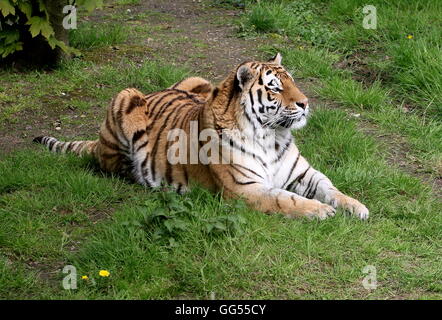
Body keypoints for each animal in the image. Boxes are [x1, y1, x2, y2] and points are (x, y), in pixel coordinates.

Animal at [32, 53, 368, 221]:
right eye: (275, 87)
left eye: (292, 81)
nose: (305, 103)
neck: (272, 136)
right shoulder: (245, 189)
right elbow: (286, 199)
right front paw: (321, 211)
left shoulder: (303, 173)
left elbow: (331, 188)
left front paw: (356, 206)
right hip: (125, 97)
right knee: (110, 163)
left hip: (197, 81)